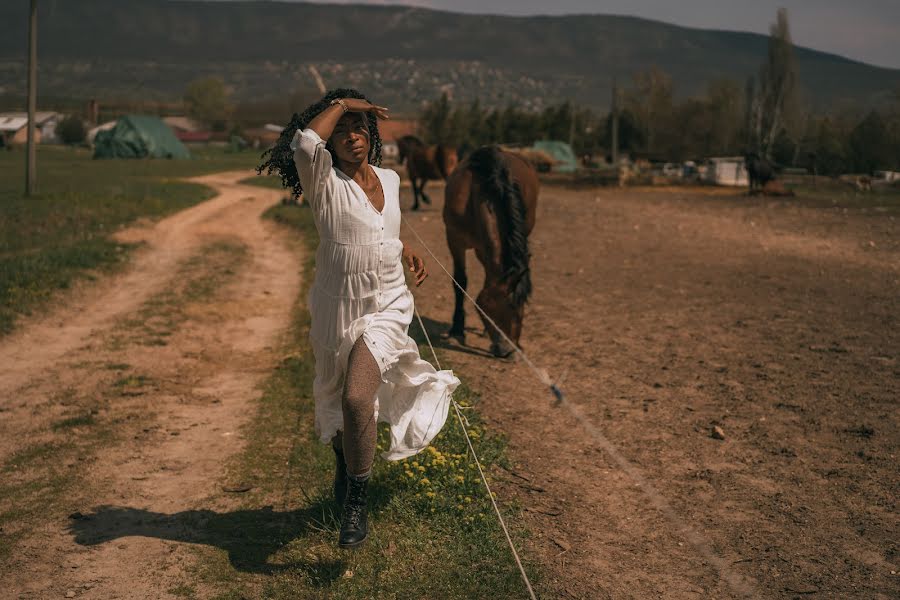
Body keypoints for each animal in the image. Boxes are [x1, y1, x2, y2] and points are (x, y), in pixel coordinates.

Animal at [442, 146, 536, 356]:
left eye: (521, 308)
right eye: (508, 306)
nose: (509, 351)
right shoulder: (454, 240)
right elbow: (460, 282)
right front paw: (457, 330)